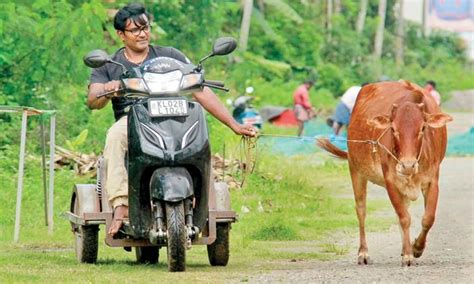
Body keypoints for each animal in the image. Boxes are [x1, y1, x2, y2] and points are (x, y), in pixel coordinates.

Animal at [318, 80, 452, 266]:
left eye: (423, 128)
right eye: (393, 129)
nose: (407, 165)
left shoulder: (432, 181)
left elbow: (427, 218)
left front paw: (416, 248)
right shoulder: (391, 181)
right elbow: (405, 218)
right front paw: (409, 254)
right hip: (355, 169)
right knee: (361, 211)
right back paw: (363, 253)